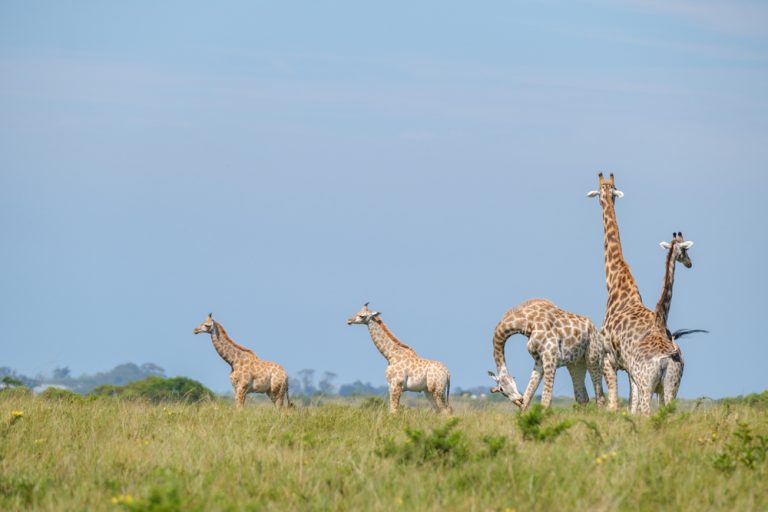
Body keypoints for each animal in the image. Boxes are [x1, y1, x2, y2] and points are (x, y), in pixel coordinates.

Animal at [588, 174, 684, 414]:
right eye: (604, 190)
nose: (605, 199)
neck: (617, 288)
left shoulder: (609, 360)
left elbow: (614, 405)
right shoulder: (628, 369)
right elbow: (630, 406)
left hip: (647, 380)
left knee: (646, 410)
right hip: (670, 384)